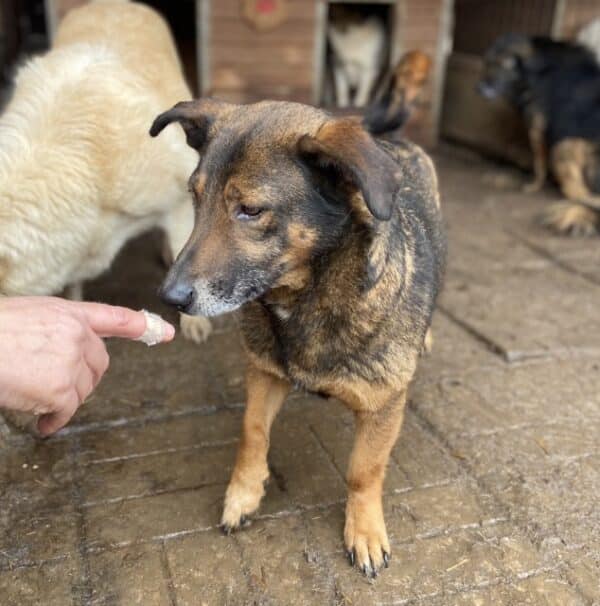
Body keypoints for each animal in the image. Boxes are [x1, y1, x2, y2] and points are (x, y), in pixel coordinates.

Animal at [150, 100, 446, 580]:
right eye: (195, 197)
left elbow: (364, 470)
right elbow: (252, 431)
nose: (169, 298)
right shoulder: (264, 372)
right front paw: (244, 494)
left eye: (250, 210)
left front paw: (364, 530)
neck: (305, 299)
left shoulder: (383, 405)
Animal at [480, 32, 600, 238]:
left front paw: (533, 186)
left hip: (563, 147)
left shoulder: (538, 128)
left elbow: (539, 163)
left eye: (502, 64)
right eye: (488, 63)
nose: (479, 87)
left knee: (579, 193)